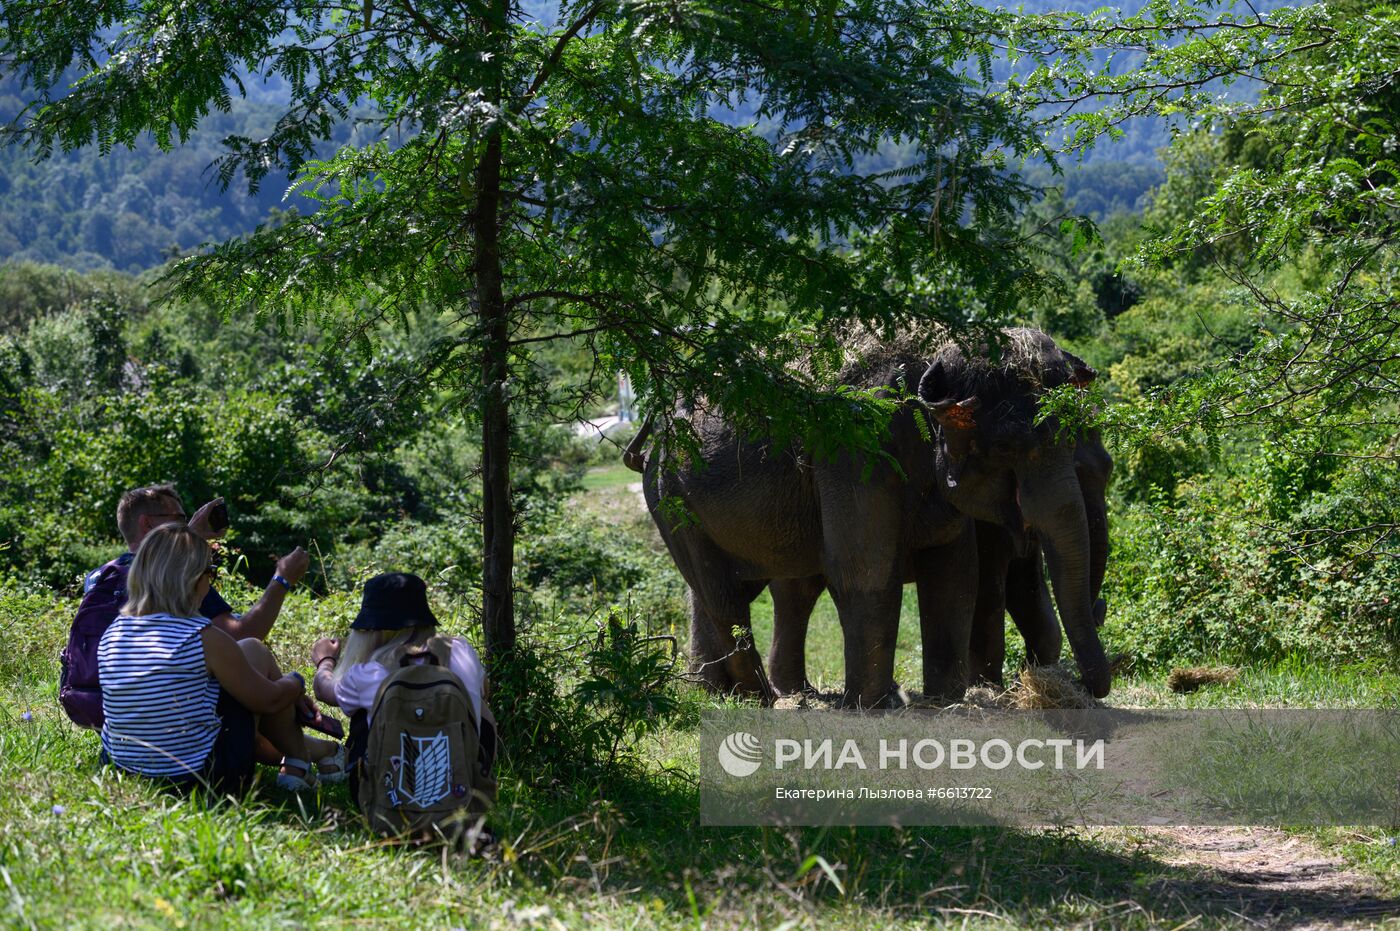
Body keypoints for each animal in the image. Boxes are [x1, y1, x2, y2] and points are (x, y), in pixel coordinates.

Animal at [630, 326, 1108, 705]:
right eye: (1008, 449)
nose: (1086, 687)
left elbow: (955, 570)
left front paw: (946, 700)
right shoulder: (855, 448)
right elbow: (866, 569)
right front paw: (875, 705)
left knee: (753, 588)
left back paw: (732, 692)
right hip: (672, 499)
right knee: (724, 594)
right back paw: (759, 698)